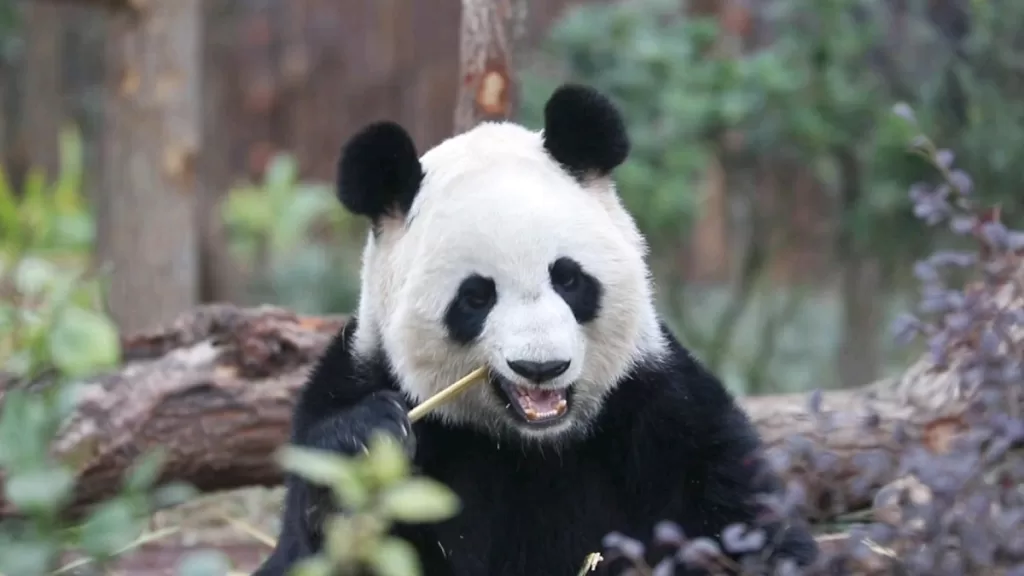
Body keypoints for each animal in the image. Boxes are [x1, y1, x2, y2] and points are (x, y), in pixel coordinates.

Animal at [253, 84, 818, 576]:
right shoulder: (358, 379)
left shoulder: (661, 408)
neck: (534, 444)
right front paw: (363, 445)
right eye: (476, 297)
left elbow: (740, 519)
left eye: (567, 278)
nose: (541, 367)